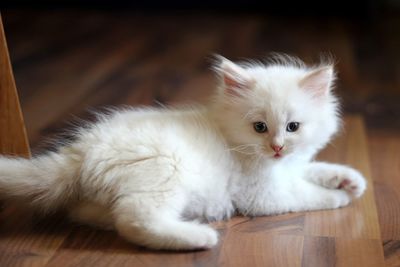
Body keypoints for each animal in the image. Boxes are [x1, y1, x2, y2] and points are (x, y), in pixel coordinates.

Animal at [0, 54, 368, 251]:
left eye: (293, 127)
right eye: (259, 127)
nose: (276, 147)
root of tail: (80, 152)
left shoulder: (290, 167)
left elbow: (314, 168)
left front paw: (350, 180)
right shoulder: (263, 196)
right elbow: (307, 193)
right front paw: (339, 197)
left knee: (103, 216)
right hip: (166, 173)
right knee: (134, 221)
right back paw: (199, 236)